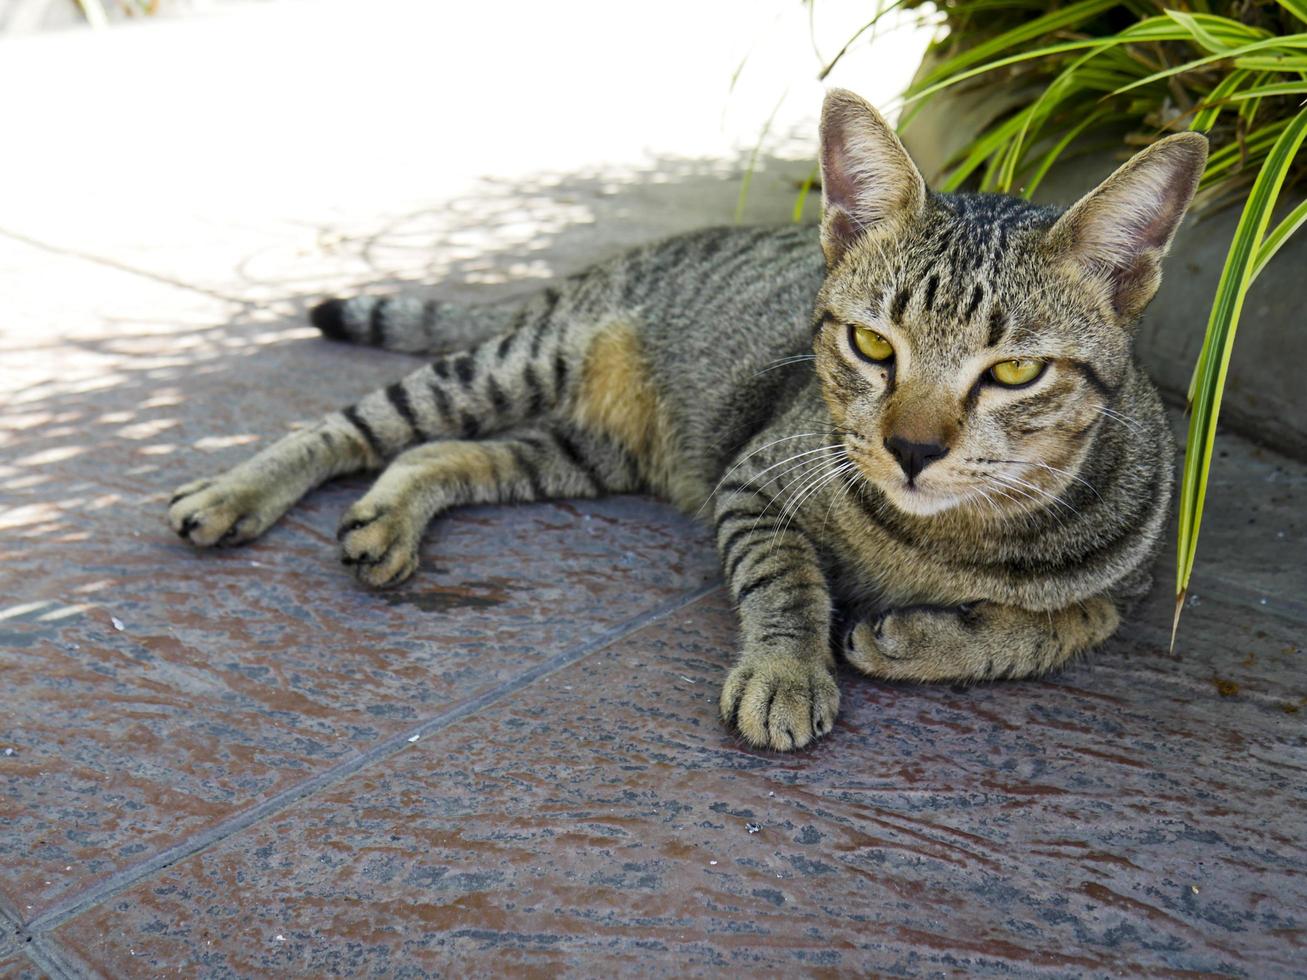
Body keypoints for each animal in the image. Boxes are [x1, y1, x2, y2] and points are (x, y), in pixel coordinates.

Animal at [171, 90, 1202, 752]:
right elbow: (786, 581)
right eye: (872, 345)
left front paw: (931, 639)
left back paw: (387, 520)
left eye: (1015, 371)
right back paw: (229, 494)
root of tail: (599, 264)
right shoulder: (752, 479)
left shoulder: (1132, 587)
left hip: (581, 450)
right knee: (352, 426)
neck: (945, 543)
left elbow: (1052, 629)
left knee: (439, 454)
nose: (909, 449)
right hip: (520, 365)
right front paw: (788, 673)